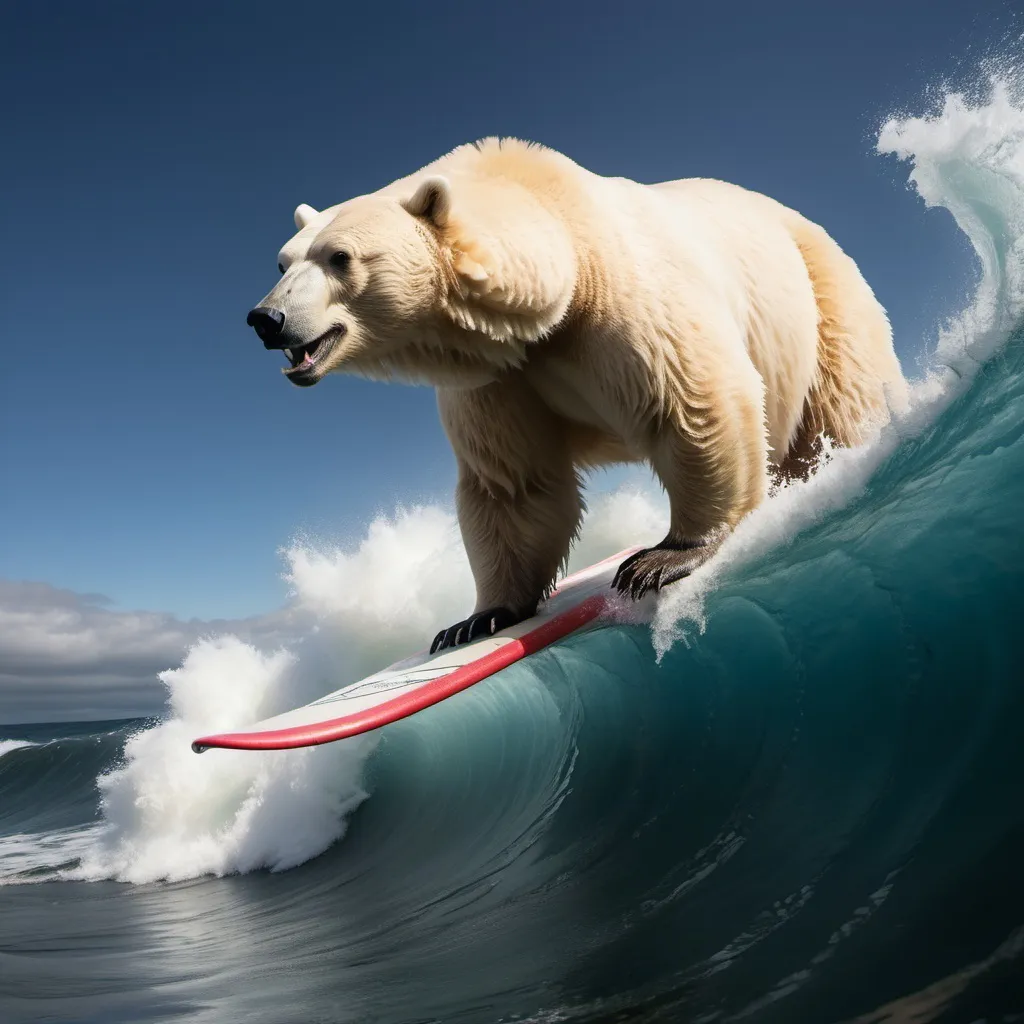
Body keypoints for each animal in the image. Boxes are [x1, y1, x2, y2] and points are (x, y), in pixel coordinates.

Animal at [245, 136, 905, 651]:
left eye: (340, 257)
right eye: (282, 261)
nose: (265, 319)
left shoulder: (622, 304)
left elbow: (692, 403)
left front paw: (661, 558)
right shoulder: (499, 378)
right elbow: (512, 484)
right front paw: (475, 619)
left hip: (821, 297)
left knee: (841, 404)